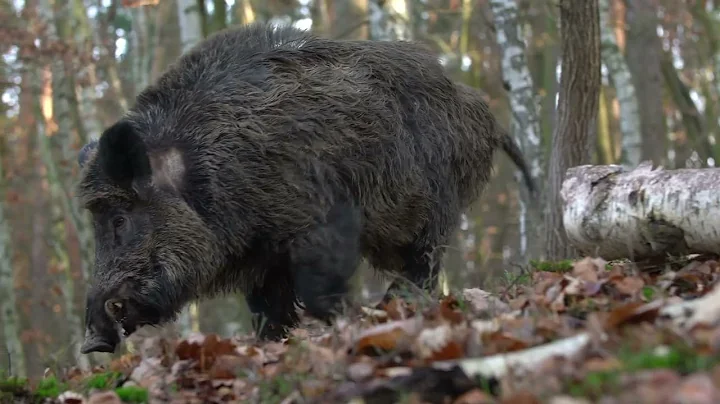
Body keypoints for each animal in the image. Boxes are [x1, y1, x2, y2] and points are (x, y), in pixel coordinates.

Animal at [76, 22, 536, 354]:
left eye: (120, 218)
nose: (92, 342)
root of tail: (482, 113)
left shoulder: (321, 221)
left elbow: (316, 291)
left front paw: (348, 322)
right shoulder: (262, 257)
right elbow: (267, 313)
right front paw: (273, 347)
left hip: (435, 204)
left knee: (424, 262)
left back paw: (392, 304)